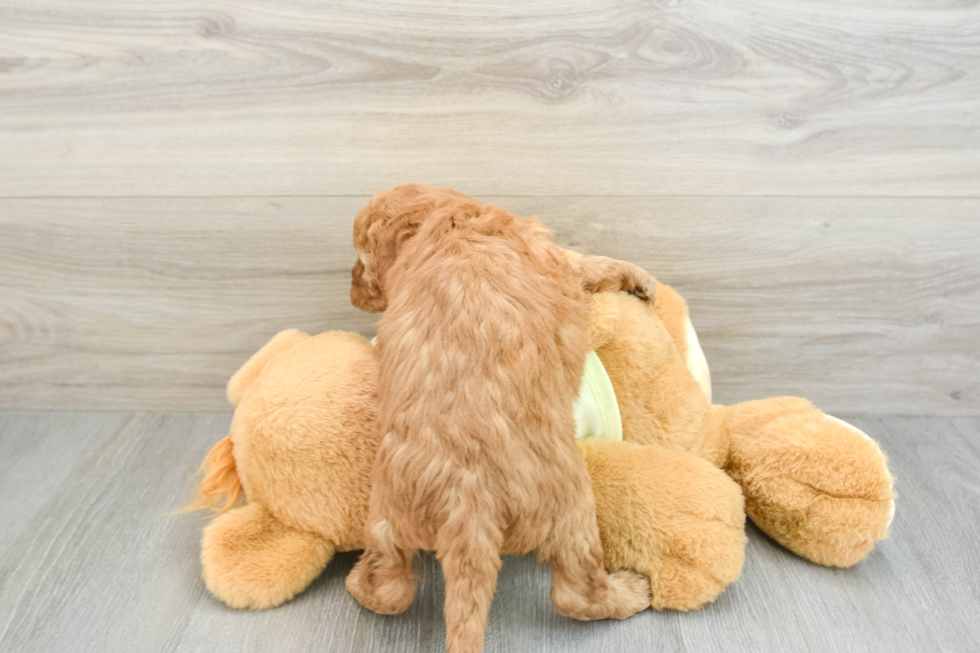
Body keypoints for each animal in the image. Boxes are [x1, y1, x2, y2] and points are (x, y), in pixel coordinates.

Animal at [348, 185, 656, 652]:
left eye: (361, 259)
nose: (352, 292)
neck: (449, 217)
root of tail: (468, 500)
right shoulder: (557, 260)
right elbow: (591, 264)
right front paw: (638, 278)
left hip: (388, 514)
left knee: (388, 588)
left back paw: (356, 583)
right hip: (572, 512)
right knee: (578, 594)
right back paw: (632, 591)